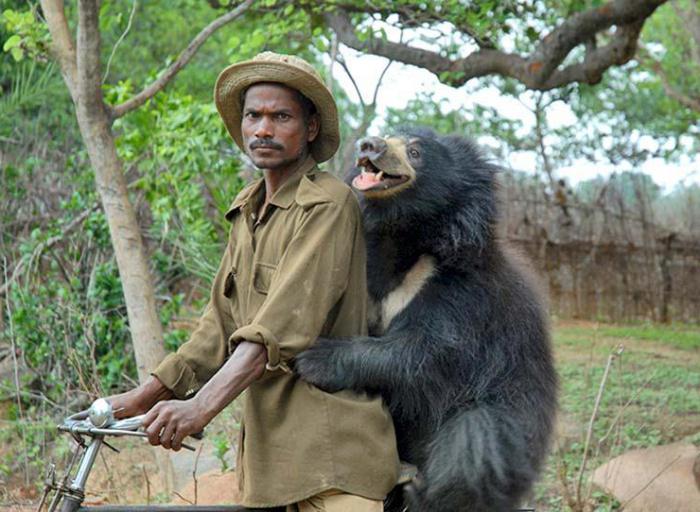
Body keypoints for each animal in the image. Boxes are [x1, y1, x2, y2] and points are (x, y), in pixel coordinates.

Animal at [296, 128, 556, 512]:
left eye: (416, 152)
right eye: (387, 134)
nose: (368, 145)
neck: (400, 237)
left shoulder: (462, 290)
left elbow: (424, 351)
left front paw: (316, 359)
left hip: (509, 424)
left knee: (474, 444)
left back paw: (424, 493)